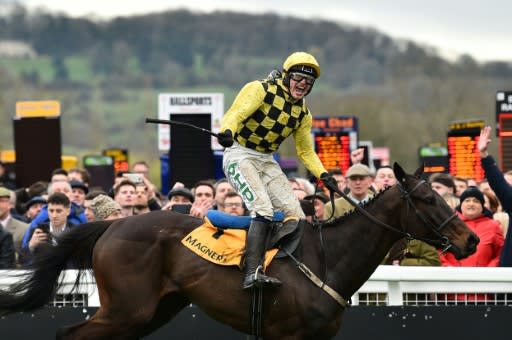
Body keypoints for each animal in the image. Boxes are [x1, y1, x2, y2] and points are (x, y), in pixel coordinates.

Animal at [0, 163, 480, 338]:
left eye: (440, 194)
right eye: (426, 199)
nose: (470, 240)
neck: (328, 258)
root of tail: (114, 224)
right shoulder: (288, 336)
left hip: (152, 311)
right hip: (126, 309)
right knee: (69, 336)